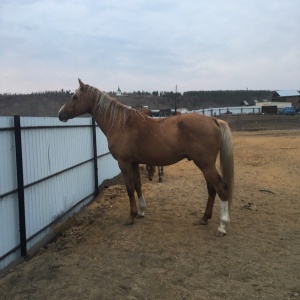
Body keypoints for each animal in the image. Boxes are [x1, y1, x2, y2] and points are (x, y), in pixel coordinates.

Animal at [59, 79, 234, 237]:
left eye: (75, 97)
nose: (61, 114)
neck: (121, 123)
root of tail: (213, 120)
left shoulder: (124, 163)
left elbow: (130, 188)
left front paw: (131, 216)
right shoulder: (134, 163)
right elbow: (138, 185)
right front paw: (141, 212)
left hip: (205, 164)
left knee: (221, 188)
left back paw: (222, 226)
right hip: (205, 165)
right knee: (212, 189)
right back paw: (204, 218)